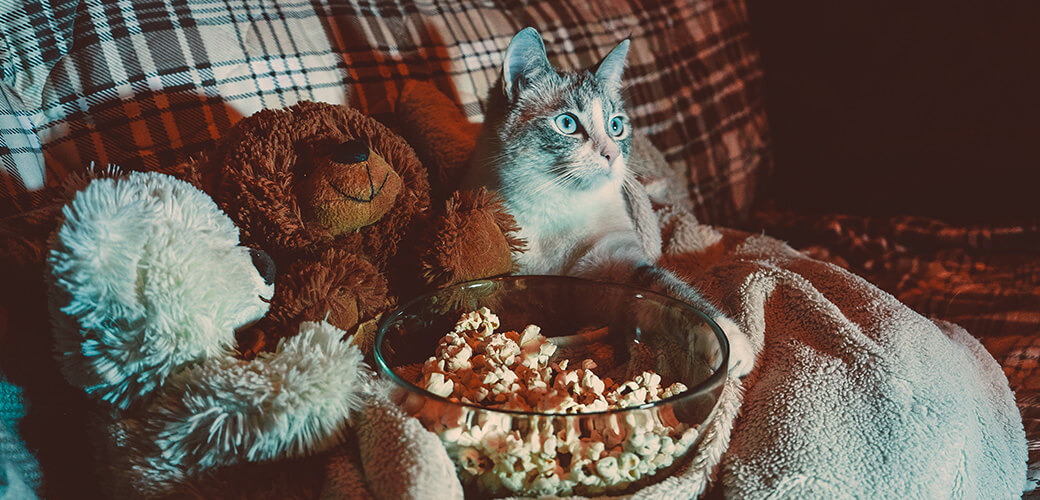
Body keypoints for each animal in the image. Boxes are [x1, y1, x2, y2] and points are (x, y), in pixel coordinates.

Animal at [467, 27, 752, 374]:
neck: (559, 204)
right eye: (567, 123)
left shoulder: (617, 264)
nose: (613, 154)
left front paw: (732, 343)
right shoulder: (513, 272)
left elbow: (670, 290)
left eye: (616, 126)